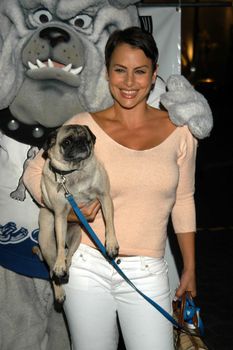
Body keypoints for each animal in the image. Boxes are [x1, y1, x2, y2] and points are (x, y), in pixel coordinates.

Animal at [39, 124, 119, 302]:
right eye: (67, 142)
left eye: (86, 139)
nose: (81, 144)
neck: (74, 171)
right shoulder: (60, 215)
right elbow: (60, 247)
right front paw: (59, 264)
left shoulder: (105, 197)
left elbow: (110, 224)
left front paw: (111, 244)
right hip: (47, 244)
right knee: (53, 269)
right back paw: (59, 288)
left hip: (77, 235)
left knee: (68, 257)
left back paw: (65, 268)